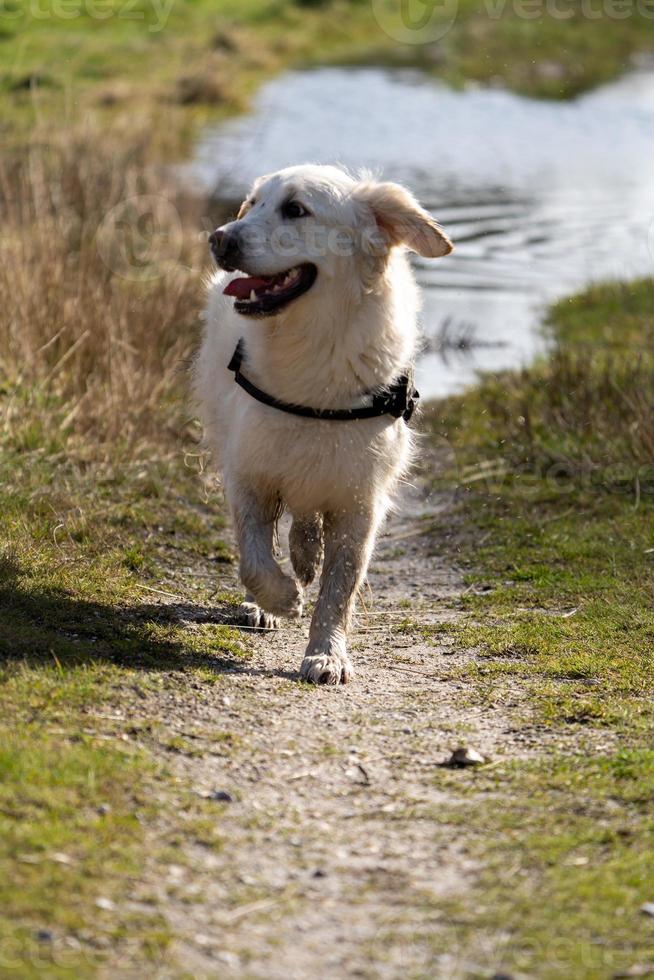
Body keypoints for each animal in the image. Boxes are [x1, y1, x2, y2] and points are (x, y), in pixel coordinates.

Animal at [192, 165, 454, 684]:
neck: (313, 350)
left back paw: (306, 553)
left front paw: (327, 654)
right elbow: (253, 556)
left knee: (308, 521)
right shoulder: (248, 472)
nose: (219, 239)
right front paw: (279, 598)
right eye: (253, 203)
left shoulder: (360, 499)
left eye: (296, 209)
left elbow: (340, 585)